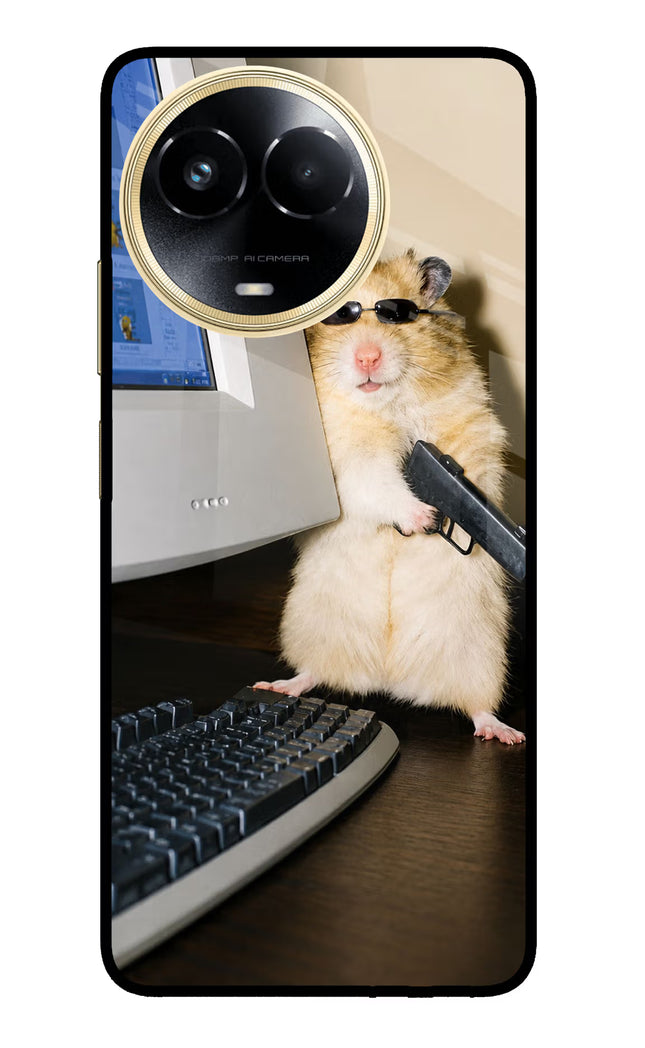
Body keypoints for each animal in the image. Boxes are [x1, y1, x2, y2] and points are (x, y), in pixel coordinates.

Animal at [256, 250, 525, 744]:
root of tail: (388, 678)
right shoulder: (348, 459)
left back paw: (504, 733)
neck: (387, 404)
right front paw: (424, 518)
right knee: (313, 672)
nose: (367, 357)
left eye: (397, 314)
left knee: (477, 706)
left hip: (480, 654)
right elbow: (378, 482)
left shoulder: (472, 429)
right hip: (312, 626)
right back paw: (279, 685)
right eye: (339, 317)